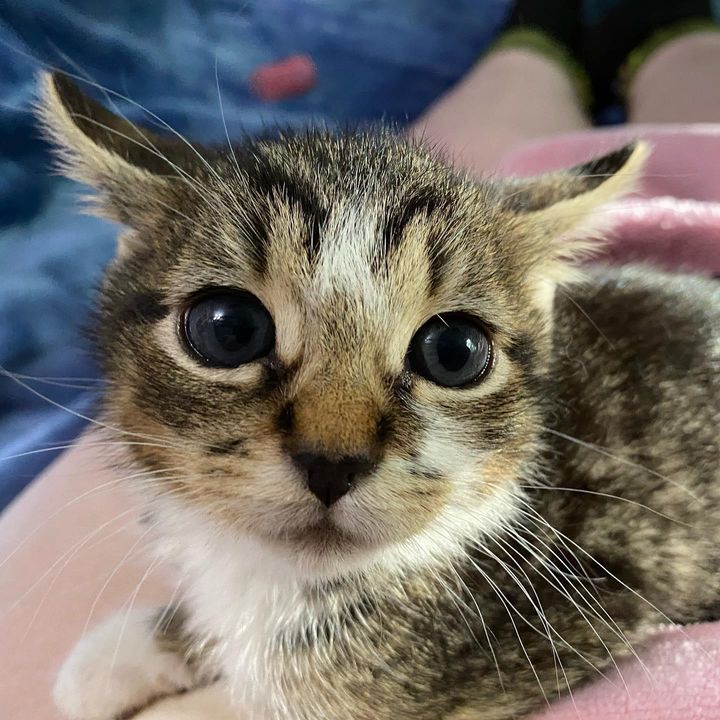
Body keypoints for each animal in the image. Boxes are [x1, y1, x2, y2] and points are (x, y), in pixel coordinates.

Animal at [40, 74, 720, 720]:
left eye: (455, 353)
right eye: (227, 330)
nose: (332, 461)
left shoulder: (591, 610)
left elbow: (270, 698)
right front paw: (124, 653)